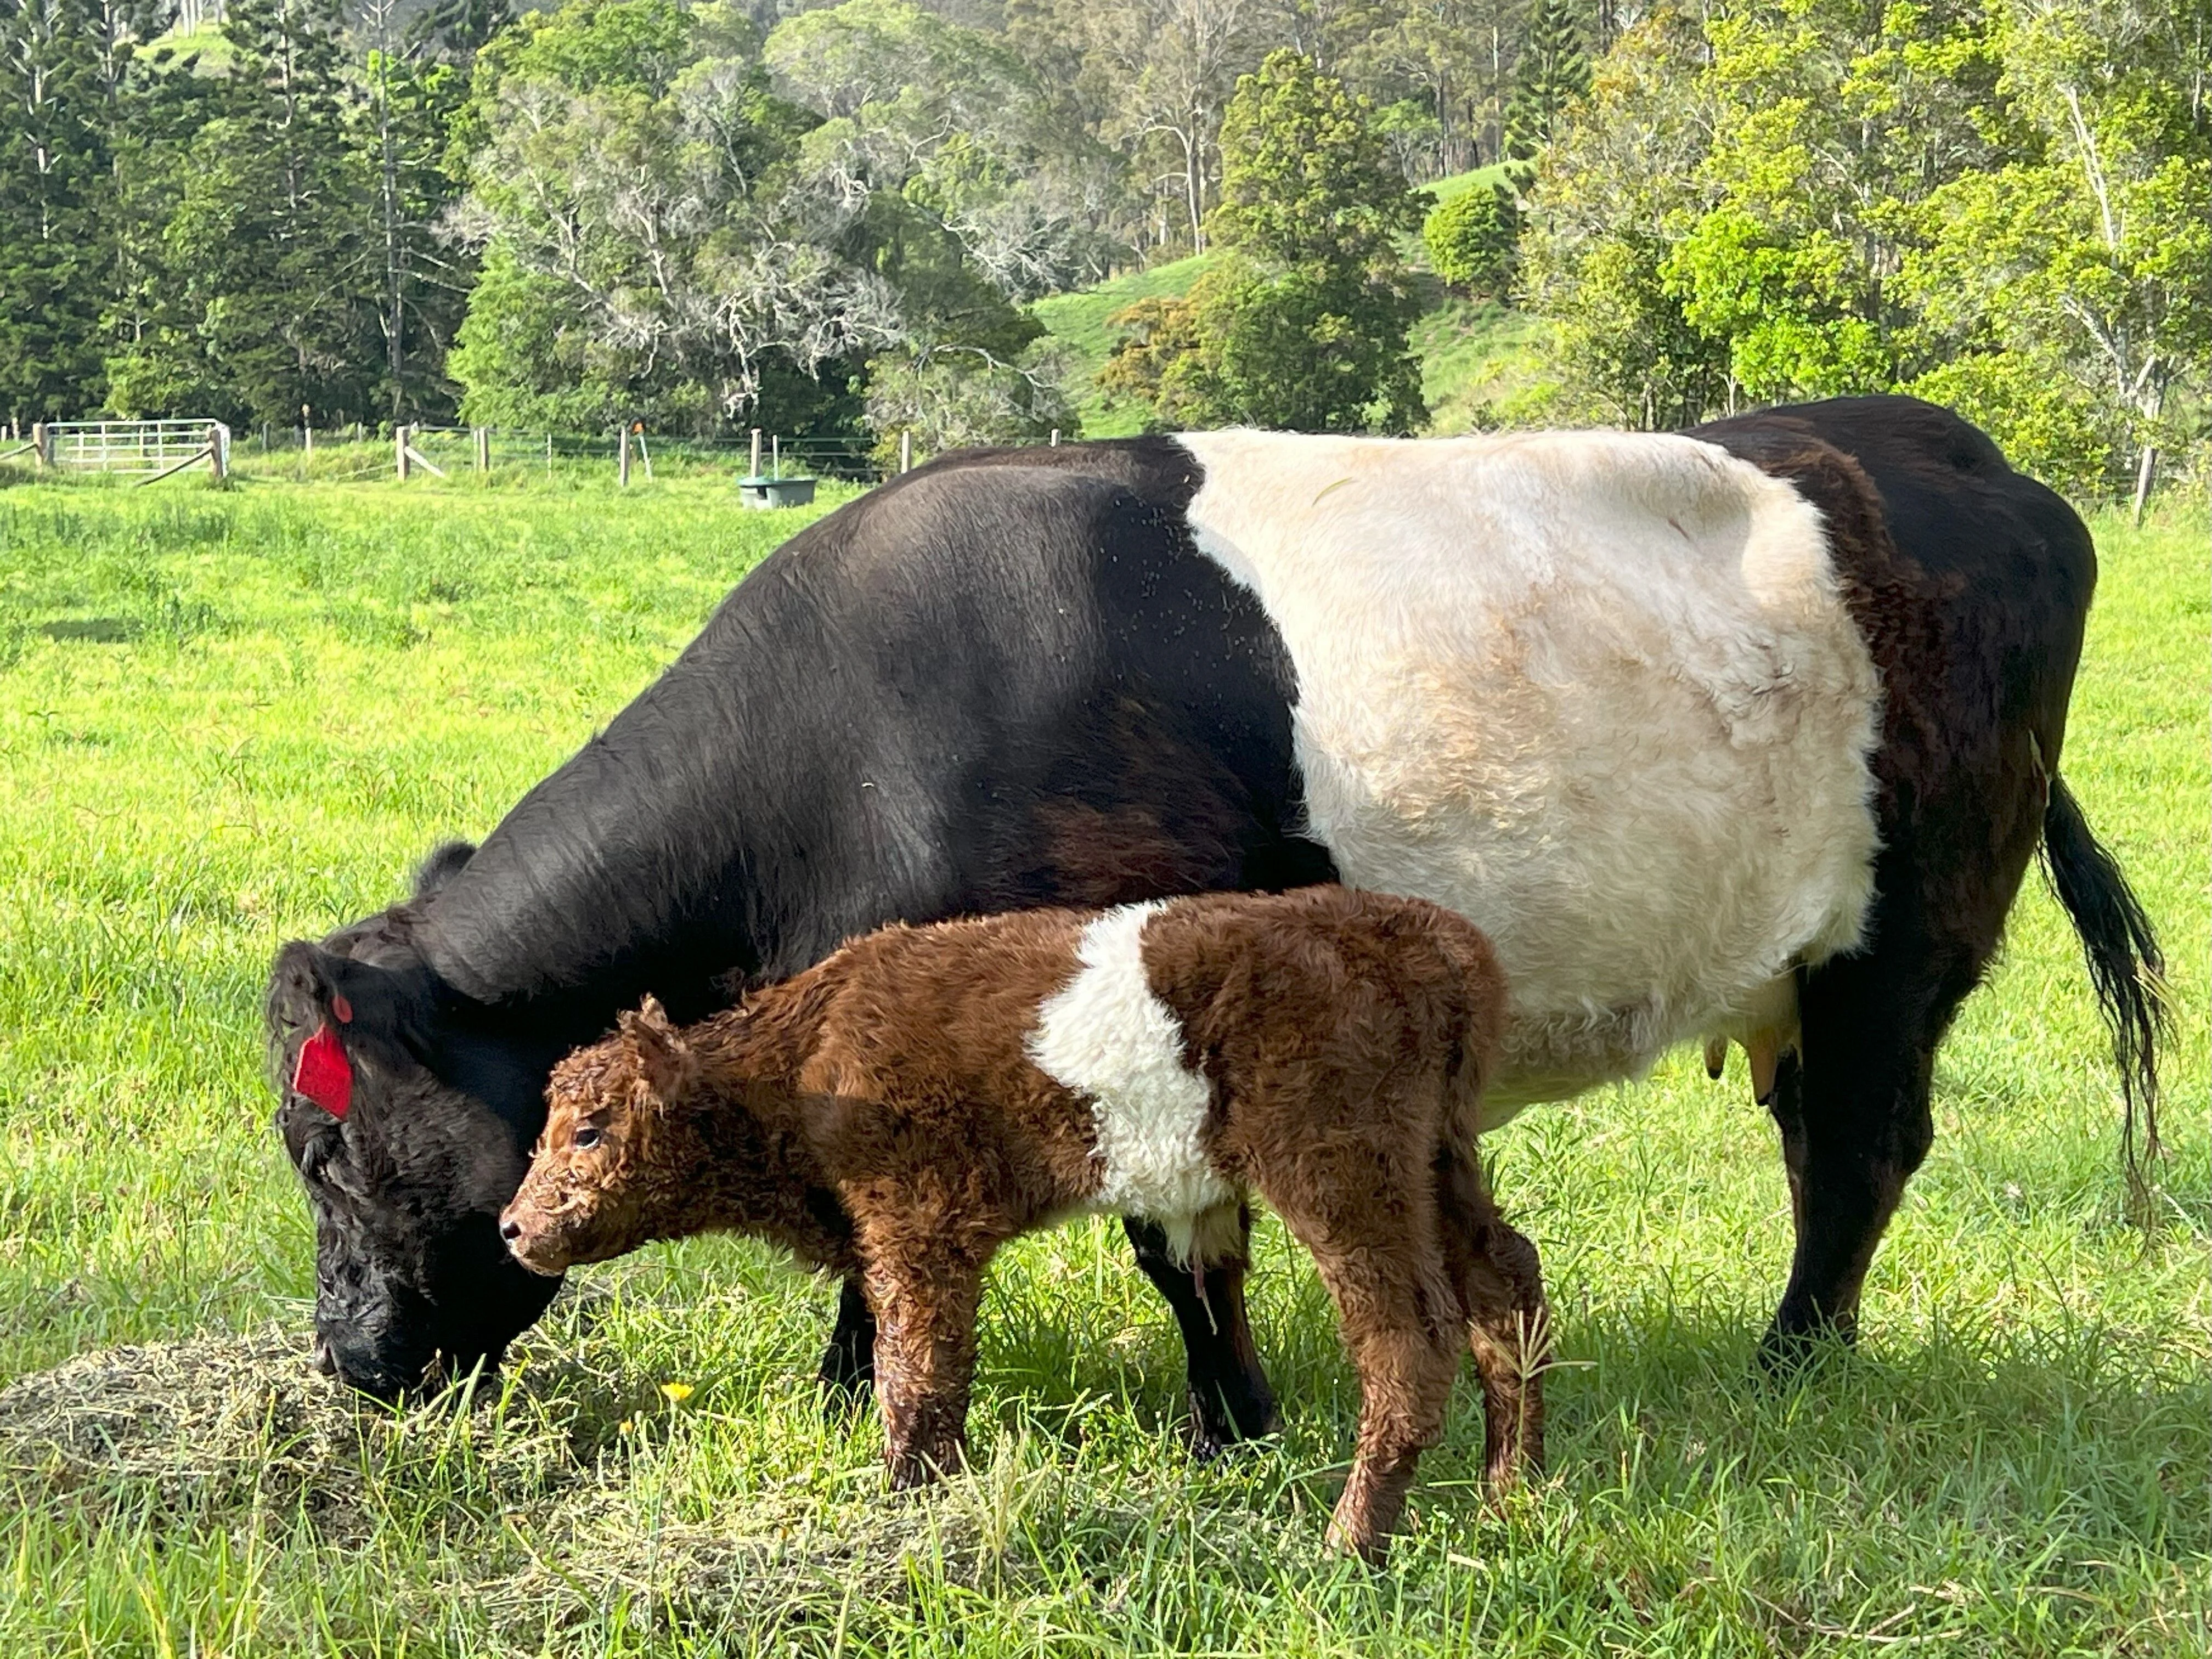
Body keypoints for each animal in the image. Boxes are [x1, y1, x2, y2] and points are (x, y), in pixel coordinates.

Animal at [267, 396, 2165, 1451]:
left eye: (320, 1147)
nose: (348, 1359)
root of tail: (1966, 455)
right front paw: (854, 1391)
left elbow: (1179, 1242)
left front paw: (1230, 1431)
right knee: (1824, 1135)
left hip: (1906, 934)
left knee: (1860, 1150)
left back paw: (1795, 1364)